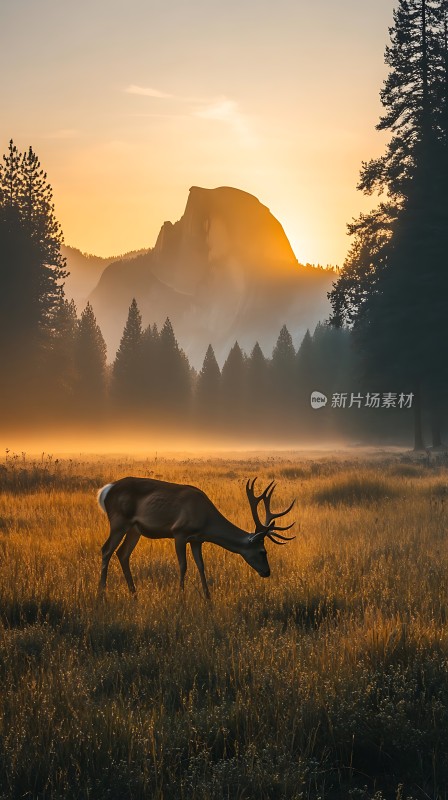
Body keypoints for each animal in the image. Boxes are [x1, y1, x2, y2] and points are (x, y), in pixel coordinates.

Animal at [97, 476, 295, 599]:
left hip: (134, 529)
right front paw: (181, 599)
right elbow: (183, 565)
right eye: (263, 551)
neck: (205, 519)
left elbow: (201, 566)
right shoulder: (179, 532)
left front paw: (208, 599)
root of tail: (105, 491)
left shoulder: (197, 540)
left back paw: (134, 595)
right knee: (106, 550)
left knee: (122, 553)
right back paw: (101, 596)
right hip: (119, 521)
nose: (267, 572)